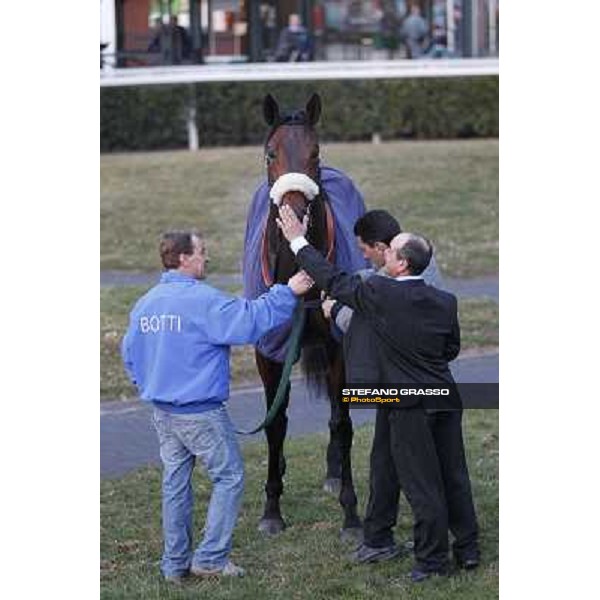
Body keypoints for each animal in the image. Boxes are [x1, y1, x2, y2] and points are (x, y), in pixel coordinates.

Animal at [243, 94, 366, 540]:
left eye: (315, 152)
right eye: (269, 153)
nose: (294, 211)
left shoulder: (338, 346)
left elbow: (342, 422)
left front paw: (351, 514)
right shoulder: (268, 350)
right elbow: (275, 423)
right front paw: (271, 510)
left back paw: (334, 475)